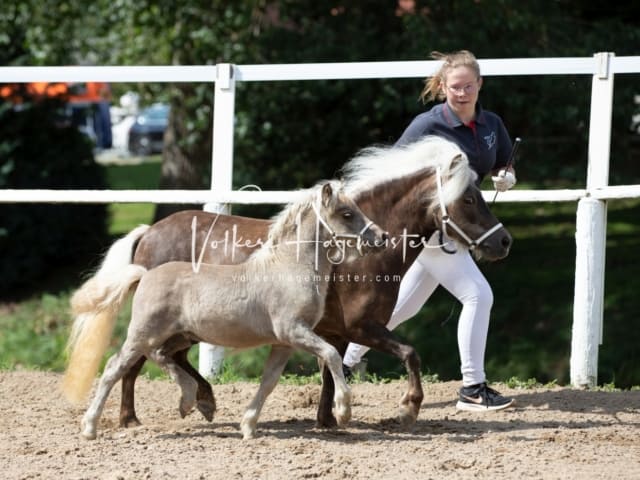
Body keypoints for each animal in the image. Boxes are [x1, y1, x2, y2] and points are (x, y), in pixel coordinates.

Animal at [67, 136, 512, 432]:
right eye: (468, 199)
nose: (504, 241)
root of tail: (149, 232)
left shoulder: (333, 332)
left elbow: (330, 373)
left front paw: (328, 420)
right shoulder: (361, 328)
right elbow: (409, 354)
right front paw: (407, 408)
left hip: (186, 329)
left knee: (162, 358)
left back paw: (199, 401)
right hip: (163, 325)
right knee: (135, 363)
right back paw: (132, 417)